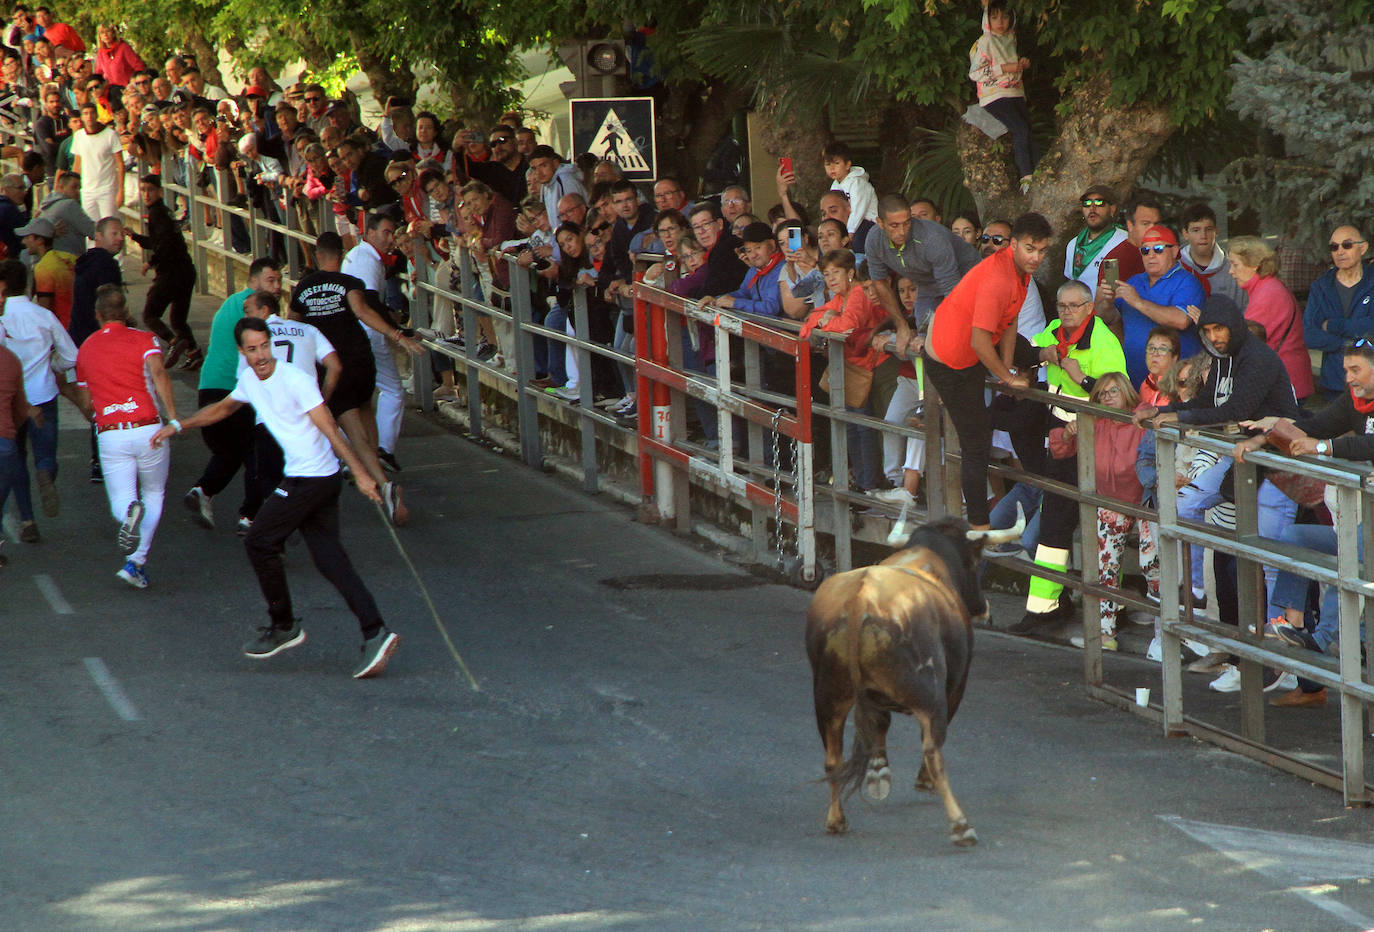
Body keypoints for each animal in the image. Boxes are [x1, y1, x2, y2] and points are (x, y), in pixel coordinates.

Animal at [802, 511, 1022, 846]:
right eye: (976, 560)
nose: (984, 607)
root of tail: (860, 598)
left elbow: (879, 726)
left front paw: (878, 772)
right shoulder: (955, 686)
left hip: (827, 697)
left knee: (833, 759)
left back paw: (836, 819)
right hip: (929, 694)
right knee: (932, 750)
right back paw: (960, 825)